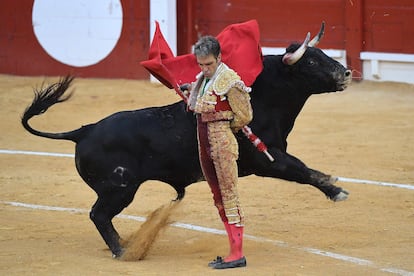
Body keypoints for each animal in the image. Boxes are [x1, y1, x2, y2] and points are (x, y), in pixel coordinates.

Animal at [21, 42, 352, 256]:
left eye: (323, 55)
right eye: (311, 62)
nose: (347, 73)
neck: (263, 98)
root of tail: (84, 130)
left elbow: (301, 168)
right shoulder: (266, 159)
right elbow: (301, 170)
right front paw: (336, 190)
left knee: (100, 216)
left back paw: (124, 245)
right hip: (119, 188)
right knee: (99, 215)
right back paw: (123, 251)